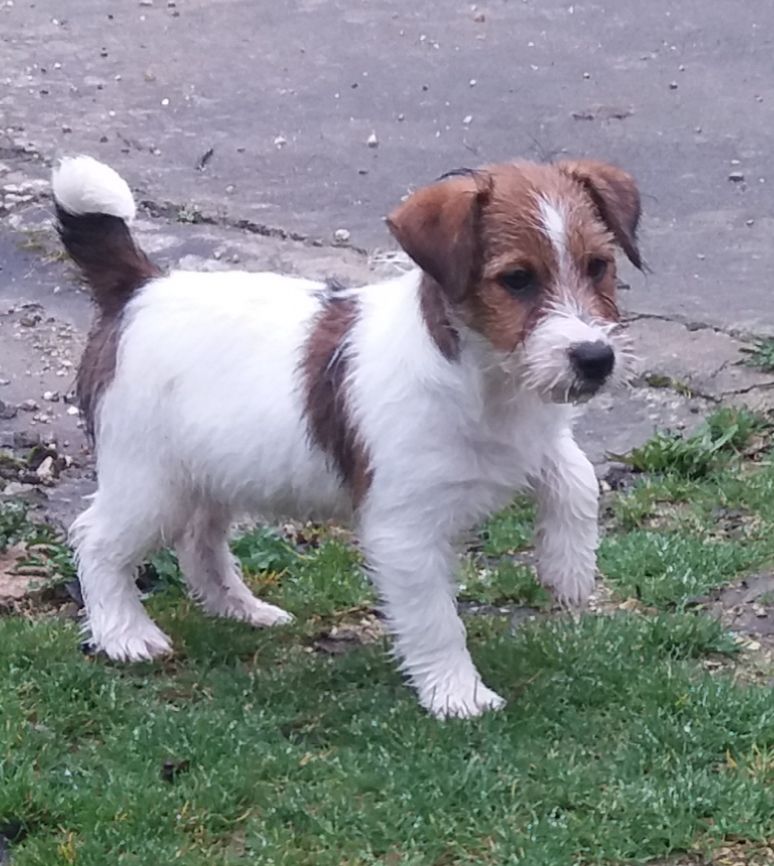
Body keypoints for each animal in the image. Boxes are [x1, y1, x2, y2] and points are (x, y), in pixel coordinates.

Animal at [50, 154, 644, 716]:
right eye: (517, 279)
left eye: (598, 266)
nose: (596, 359)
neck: (488, 380)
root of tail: (139, 289)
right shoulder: (404, 532)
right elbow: (436, 620)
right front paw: (458, 695)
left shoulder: (532, 440)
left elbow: (575, 474)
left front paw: (569, 568)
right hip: (150, 480)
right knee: (96, 540)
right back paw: (125, 634)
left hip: (212, 470)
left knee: (199, 544)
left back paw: (242, 609)